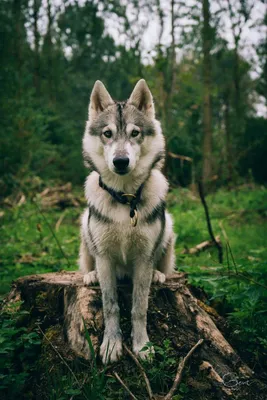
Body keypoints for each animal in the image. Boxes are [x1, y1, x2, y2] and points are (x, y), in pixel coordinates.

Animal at [79, 79, 176, 364]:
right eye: (107, 133)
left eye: (135, 133)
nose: (120, 161)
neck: (125, 198)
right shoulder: (105, 259)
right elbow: (110, 305)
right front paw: (112, 344)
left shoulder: (143, 258)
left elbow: (138, 308)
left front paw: (142, 346)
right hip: (84, 226)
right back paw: (89, 275)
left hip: (168, 226)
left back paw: (159, 274)